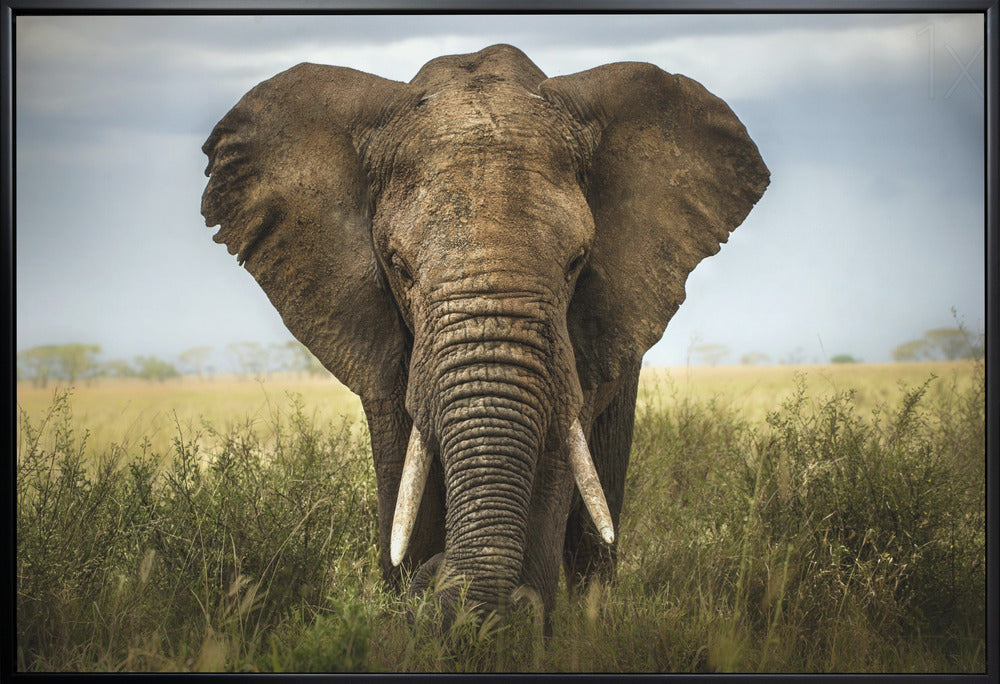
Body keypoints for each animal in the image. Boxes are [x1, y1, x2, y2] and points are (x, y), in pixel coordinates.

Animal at [201, 44, 768, 625]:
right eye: (399, 267)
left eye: (577, 263)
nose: (437, 578)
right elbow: (403, 472)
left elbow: (554, 461)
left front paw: (518, 621)